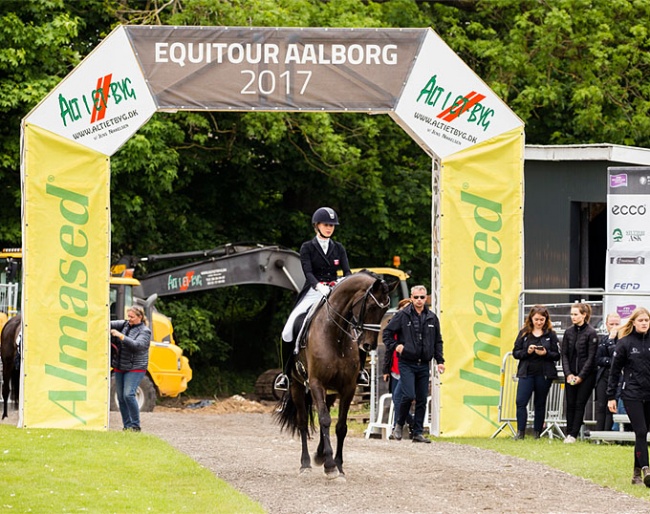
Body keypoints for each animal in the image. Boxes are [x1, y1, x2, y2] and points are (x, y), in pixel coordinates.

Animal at [274, 270, 394, 474]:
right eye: (371, 306)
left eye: (385, 311)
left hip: (330, 392)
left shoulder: (348, 387)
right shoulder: (316, 383)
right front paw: (330, 466)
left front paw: (337, 464)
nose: (368, 345)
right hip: (297, 386)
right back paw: (305, 463)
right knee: (303, 422)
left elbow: (340, 426)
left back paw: (319, 454)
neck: (335, 336)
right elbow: (324, 420)